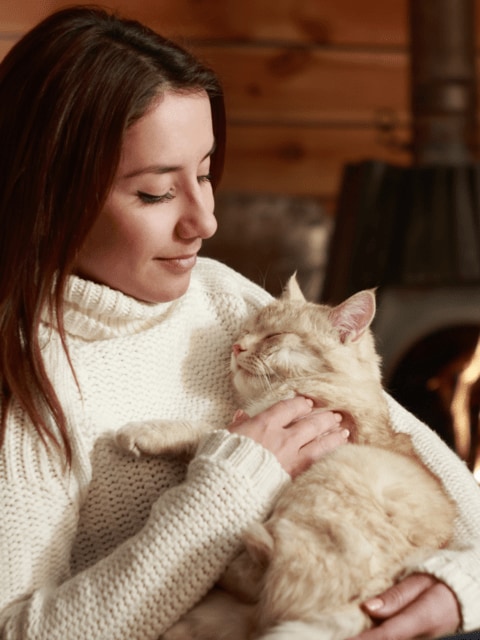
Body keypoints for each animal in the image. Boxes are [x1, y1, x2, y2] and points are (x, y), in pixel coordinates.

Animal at [114, 276, 456, 640]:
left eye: (274, 336)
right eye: (247, 329)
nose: (237, 347)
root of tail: (366, 605)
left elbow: (206, 431)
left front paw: (143, 433)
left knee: (266, 589)